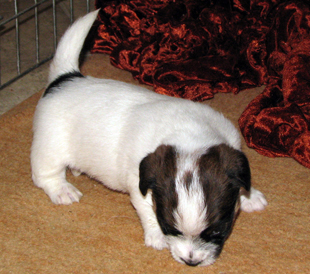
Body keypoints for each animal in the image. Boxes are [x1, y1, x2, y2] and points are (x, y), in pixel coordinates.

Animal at [31, 9, 266, 266]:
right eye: (169, 228)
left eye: (217, 231)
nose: (191, 261)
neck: (191, 136)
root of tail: (65, 78)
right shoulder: (140, 186)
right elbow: (147, 210)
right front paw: (157, 237)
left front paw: (250, 196)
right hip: (50, 146)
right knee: (45, 175)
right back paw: (62, 189)